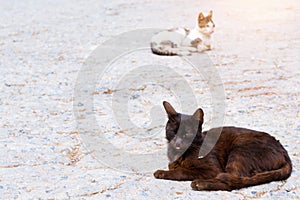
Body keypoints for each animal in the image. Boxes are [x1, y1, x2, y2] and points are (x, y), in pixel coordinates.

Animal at [154, 102, 292, 191]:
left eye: (187, 133)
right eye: (173, 132)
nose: (177, 142)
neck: (181, 155)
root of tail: (285, 153)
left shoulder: (212, 169)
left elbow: (182, 171)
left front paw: (162, 172)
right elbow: (173, 166)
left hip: (240, 147)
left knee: (233, 181)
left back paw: (200, 184)